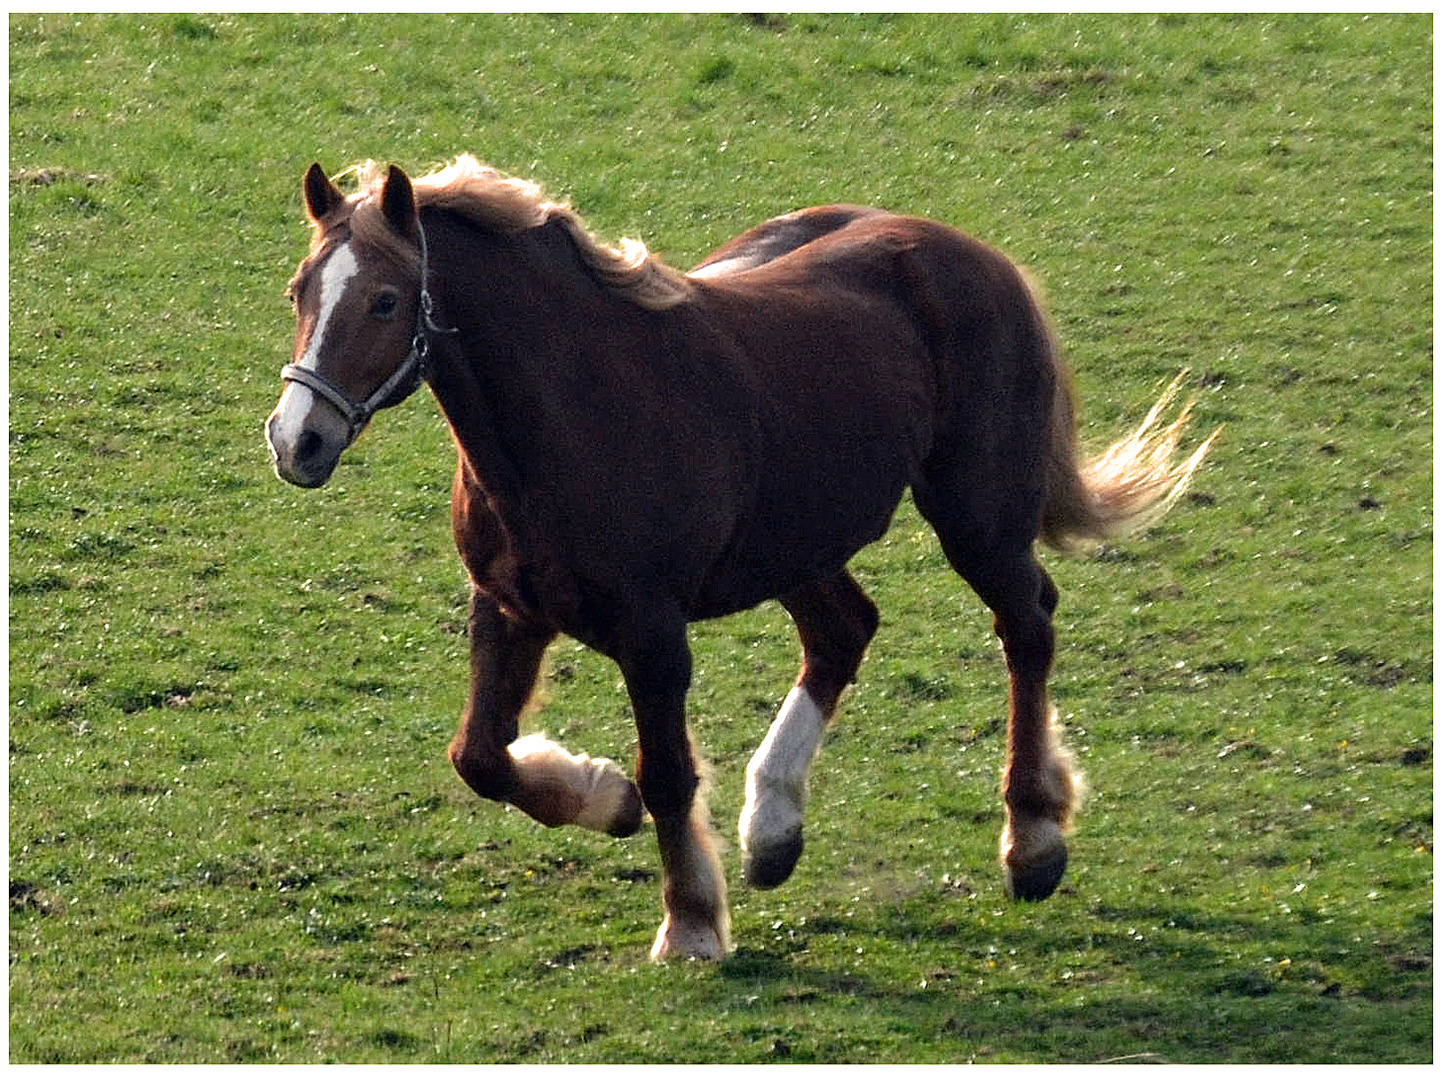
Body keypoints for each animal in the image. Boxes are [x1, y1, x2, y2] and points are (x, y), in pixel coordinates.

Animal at [266, 155, 1215, 955]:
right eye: (299, 289)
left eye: (386, 300)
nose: (296, 440)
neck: (572, 414)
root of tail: (971, 254)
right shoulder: (505, 608)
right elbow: (480, 758)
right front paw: (603, 798)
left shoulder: (652, 633)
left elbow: (666, 774)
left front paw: (688, 922)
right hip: (797, 543)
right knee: (845, 632)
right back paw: (772, 829)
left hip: (975, 519)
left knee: (1026, 628)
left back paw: (1032, 840)